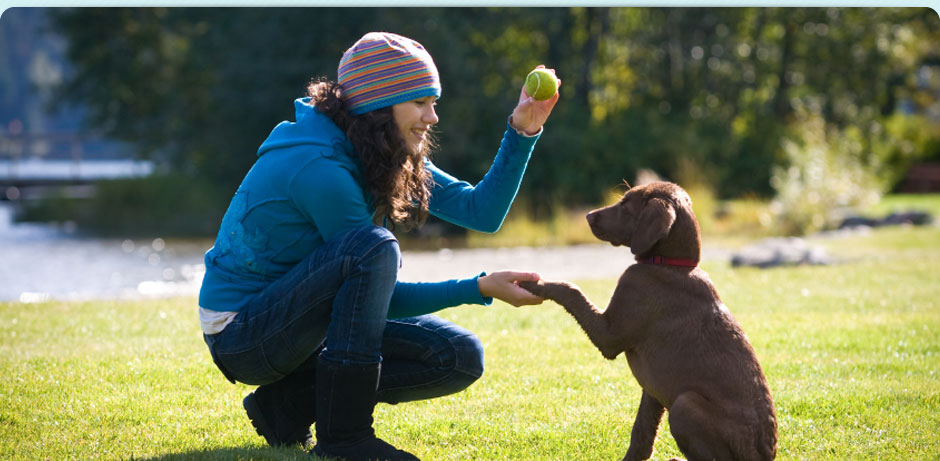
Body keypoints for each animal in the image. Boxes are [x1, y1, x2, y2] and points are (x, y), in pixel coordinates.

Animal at [516, 181, 776, 460]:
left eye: (625, 205)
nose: (587, 216)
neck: (670, 265)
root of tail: (763, 455)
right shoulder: (653, 391)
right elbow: (642, 433)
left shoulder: (609, 335)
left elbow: (571, 289)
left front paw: (534, 284)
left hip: (684, 404)